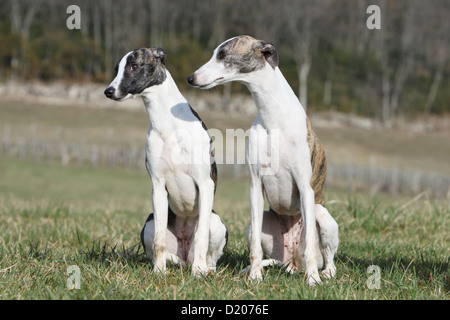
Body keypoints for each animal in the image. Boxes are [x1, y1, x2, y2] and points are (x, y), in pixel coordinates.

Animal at [103, 47, 227, 276]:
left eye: (134, 66)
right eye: (117, 69)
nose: (109, 91)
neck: (169, 124)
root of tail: (185, 258)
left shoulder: (205, 184)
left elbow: (201, 235)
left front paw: (198, 272)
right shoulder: (158, 186)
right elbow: (159, 239)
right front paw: (159, 272)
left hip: (216, 223)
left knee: (209, 252)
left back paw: (204, 268)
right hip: (150, 221)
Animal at [188, 35, 340, 284]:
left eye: (223, 54)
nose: (191, 78)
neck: (274, 118)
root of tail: (292, 261)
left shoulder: (305, 187)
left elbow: (310, 242)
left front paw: (312, 280)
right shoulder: (256, 184)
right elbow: (255, 249)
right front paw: (255, 276)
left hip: (322, 216)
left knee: (325, 255)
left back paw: (323, 272)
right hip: (256, 227)